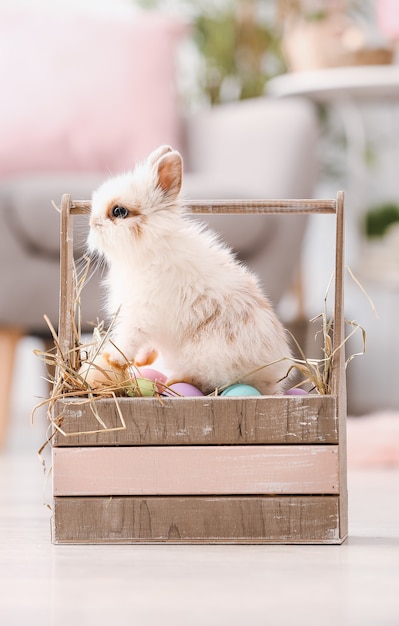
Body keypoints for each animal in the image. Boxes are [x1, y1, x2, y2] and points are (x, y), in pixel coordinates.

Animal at [86, 144, 294, 392]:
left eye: (118, 211)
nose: (92, 223)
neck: (151, 248)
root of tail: (272, 380)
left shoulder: (142, 315)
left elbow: (129, 340)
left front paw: (111, 358)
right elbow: (144, 345)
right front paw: (141, 361)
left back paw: (175, 382)